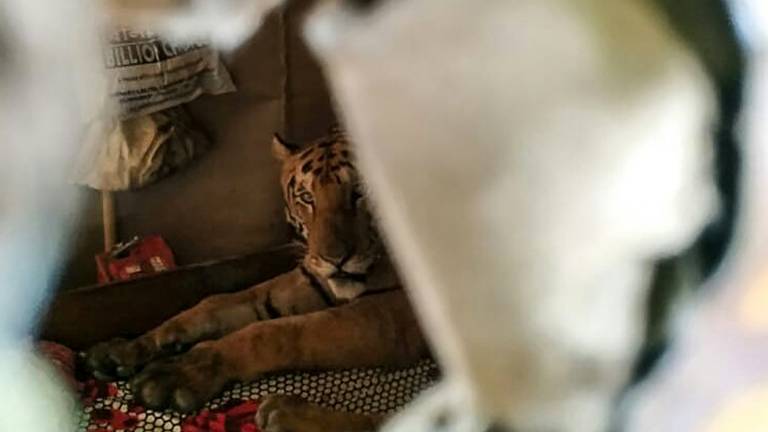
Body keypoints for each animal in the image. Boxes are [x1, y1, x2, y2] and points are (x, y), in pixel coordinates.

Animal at [84, 127, 430, 431]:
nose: (335, 259)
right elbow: (218, 304)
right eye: (307, 197)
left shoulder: (391, 315)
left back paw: (288, 416)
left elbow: (276, 332)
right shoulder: (311, 280)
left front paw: (180, 372)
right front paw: (127, 349)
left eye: (361, 192)